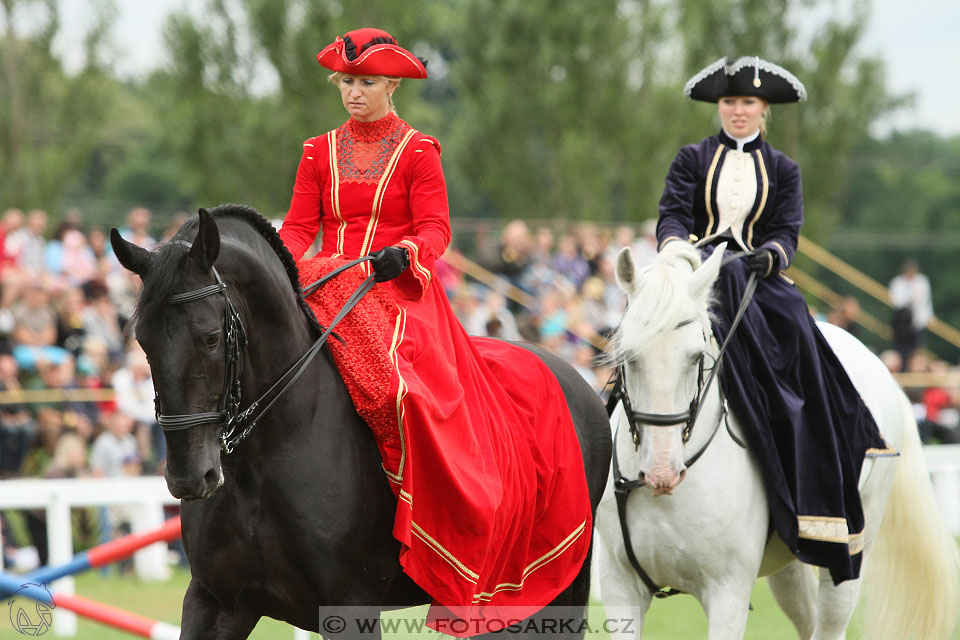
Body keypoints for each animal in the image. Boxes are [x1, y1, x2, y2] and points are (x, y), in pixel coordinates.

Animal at [109, 206, 612, 640]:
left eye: (211, 338)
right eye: (142, 341)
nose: (188, 476)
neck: (266, 457)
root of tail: (578, 379)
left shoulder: (349, 607)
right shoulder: (216, 602)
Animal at [592, 242, 960, 636]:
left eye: (696, 357)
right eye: (630, 357)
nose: (662, 472)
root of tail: (882, 367)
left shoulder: (728, 592)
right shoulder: (620, 587)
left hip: (853, 543)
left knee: (831, 623)